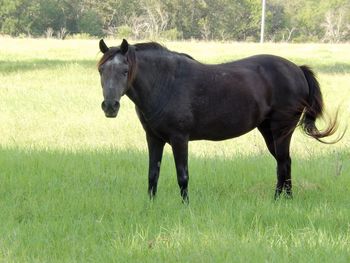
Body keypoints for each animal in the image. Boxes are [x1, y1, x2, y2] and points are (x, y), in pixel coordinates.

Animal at [97, 39, 340, 204]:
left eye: (125, 70)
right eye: (101, 70)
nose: (110, 106)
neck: (165, 82)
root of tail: (297, 69)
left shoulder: (179, 138)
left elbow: (182, 175)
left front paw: (185, 206)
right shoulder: (154, 138)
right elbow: (152, 174)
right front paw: (151, 205)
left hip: (281, 130)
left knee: (284, 163)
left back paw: (281, 200)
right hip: (268, 131)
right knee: (283, 163)